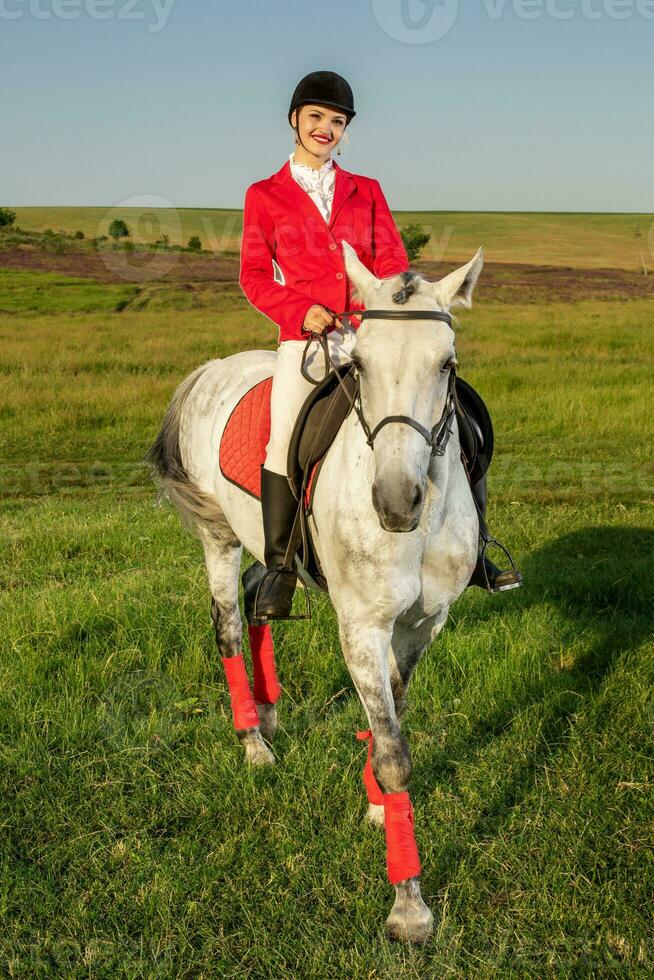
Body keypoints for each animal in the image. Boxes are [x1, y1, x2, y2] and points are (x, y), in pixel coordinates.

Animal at [146, 243, 484, 940]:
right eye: (361, 365)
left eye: (446, 364)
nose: (396, 502)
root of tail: (213, 369)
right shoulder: (360, 627)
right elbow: (394, 749)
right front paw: (408, 908)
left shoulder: (423, 624)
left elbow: (394, 717)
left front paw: (379, 806)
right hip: (220, 539)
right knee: (226, 624)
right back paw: (254, 744)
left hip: (266, 549)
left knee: (260, 598)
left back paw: (271, 713)